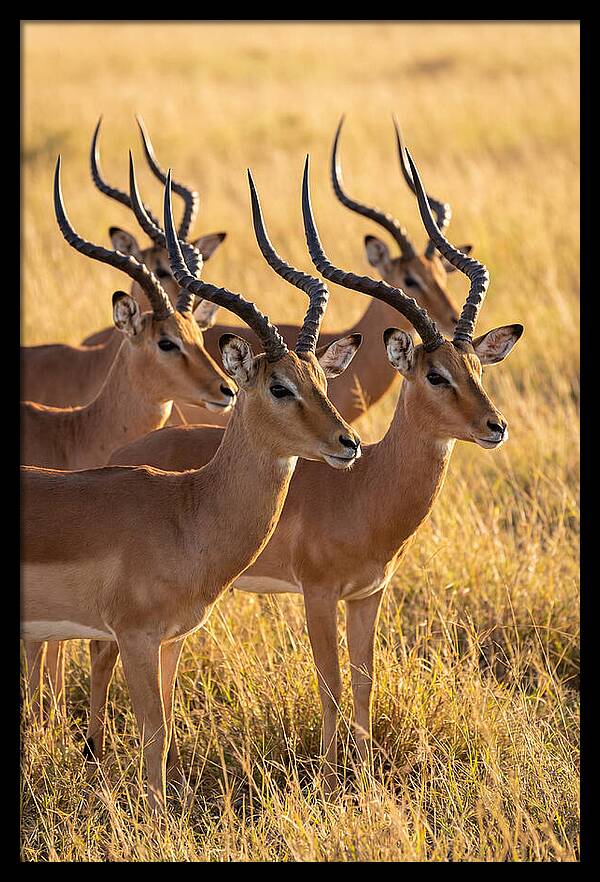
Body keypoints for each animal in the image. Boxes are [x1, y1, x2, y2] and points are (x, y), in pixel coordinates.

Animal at [101, 152, 522, 795]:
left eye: (477, 366)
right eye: (435, 375)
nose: (495, 427)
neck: (365, 488)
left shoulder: (369, 595)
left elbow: (366, 683)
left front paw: (365, 773)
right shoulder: (319, 594)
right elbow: (331, 685)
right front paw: (328, 777)